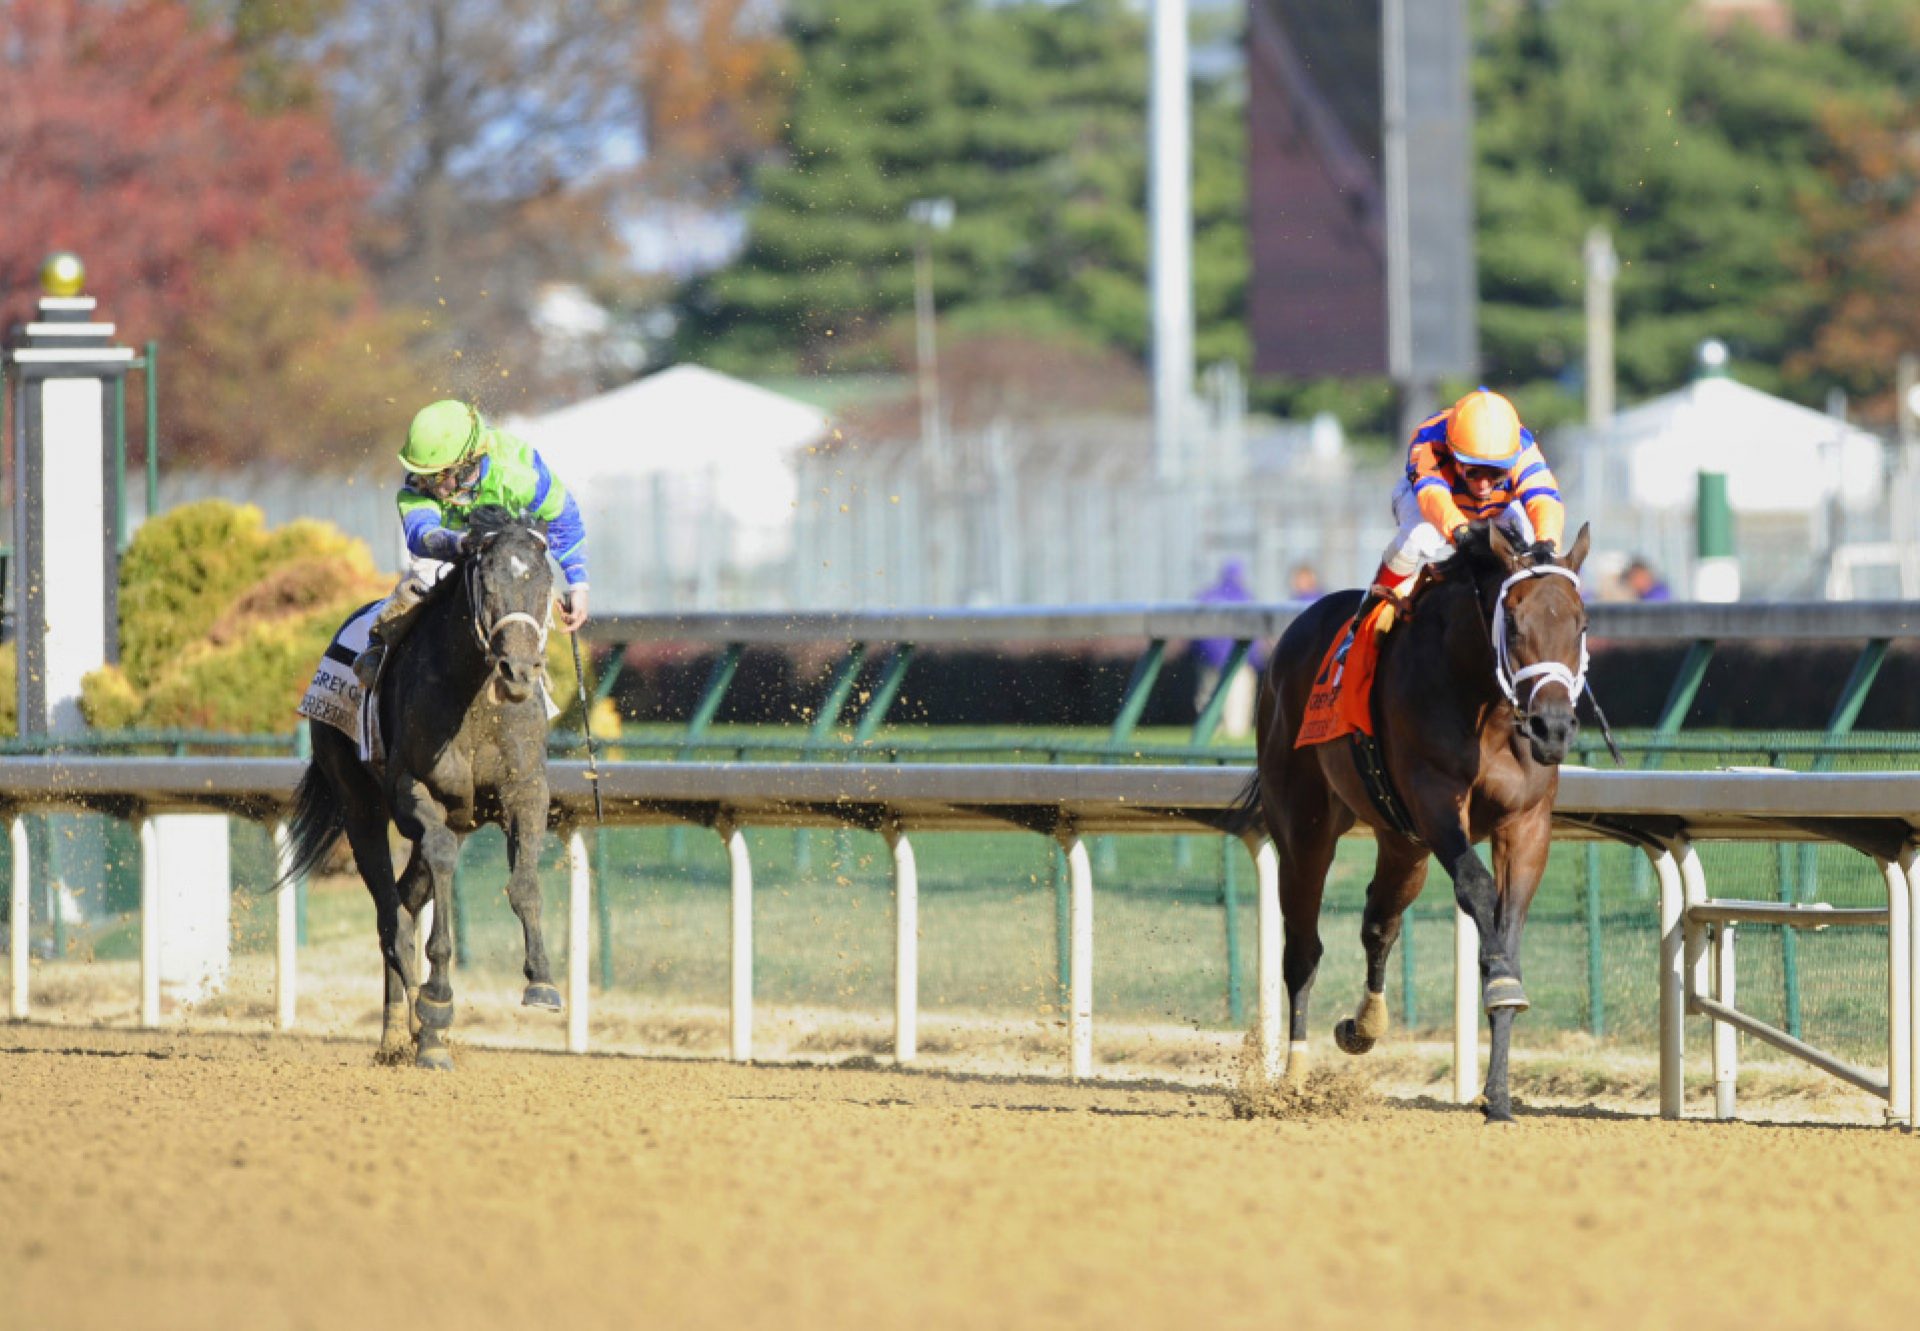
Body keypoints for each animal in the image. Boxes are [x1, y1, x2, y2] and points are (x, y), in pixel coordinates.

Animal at [278, 503, 560, 1067]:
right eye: (487, 581)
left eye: (544, 583)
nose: (518, 671)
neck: (474, 702)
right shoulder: (412, 790)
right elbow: (442, 867)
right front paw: (437, 999)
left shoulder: (524, 790)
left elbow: (524, 882)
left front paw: (541, 980)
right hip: (359, 806)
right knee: (392, 914)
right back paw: (413, 1027)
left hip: (458, 817)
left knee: (407, 899)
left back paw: (408, 1032)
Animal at [1244, 522, 1589, 1121]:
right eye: (1513, 622)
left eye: (1581, 623)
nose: (1552, 728)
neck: (1485, 705)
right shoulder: (1435, 801)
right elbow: (1477, 888)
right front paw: (1502, 984)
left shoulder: (1525, 823)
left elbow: (1507, 925)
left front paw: (1498, 1094)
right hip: (1305, 828)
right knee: (1304, 948)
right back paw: (1293, 1079)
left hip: (1402, 843)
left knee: (1379, 921)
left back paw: (1363, 1026)